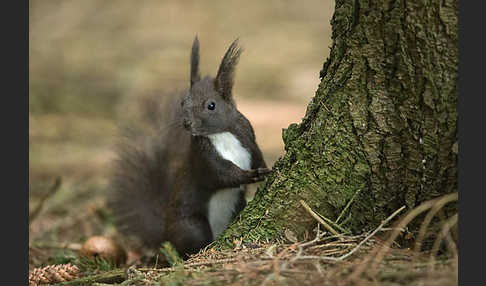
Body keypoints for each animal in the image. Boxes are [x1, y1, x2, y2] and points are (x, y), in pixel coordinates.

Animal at [107, 35, 272, 256]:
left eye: (211, 105)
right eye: (182, 103)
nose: (186, 123)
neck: (220, 133)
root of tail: (165, 234)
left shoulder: (248, 137)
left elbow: (257, 155)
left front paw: (265, 169)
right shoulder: (202, 156)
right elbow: (221, 174)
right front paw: (249, 175)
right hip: (192, 227)